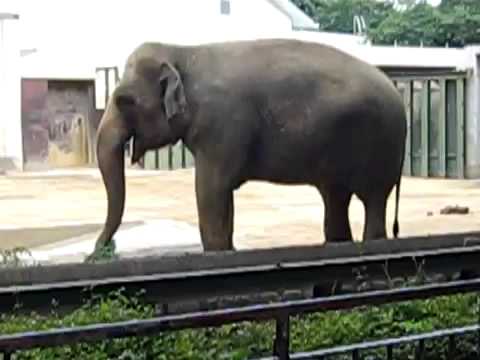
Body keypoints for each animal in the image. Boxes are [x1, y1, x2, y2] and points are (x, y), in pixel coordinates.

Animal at [89, 38, 404, 260]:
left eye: (124, 101)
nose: (97, 253)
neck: (183, 52)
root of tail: (398, 93)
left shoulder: (222, 126)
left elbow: (211, 192)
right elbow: (221, 198)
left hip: (383, 146)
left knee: (374, 202)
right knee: (336, 200)